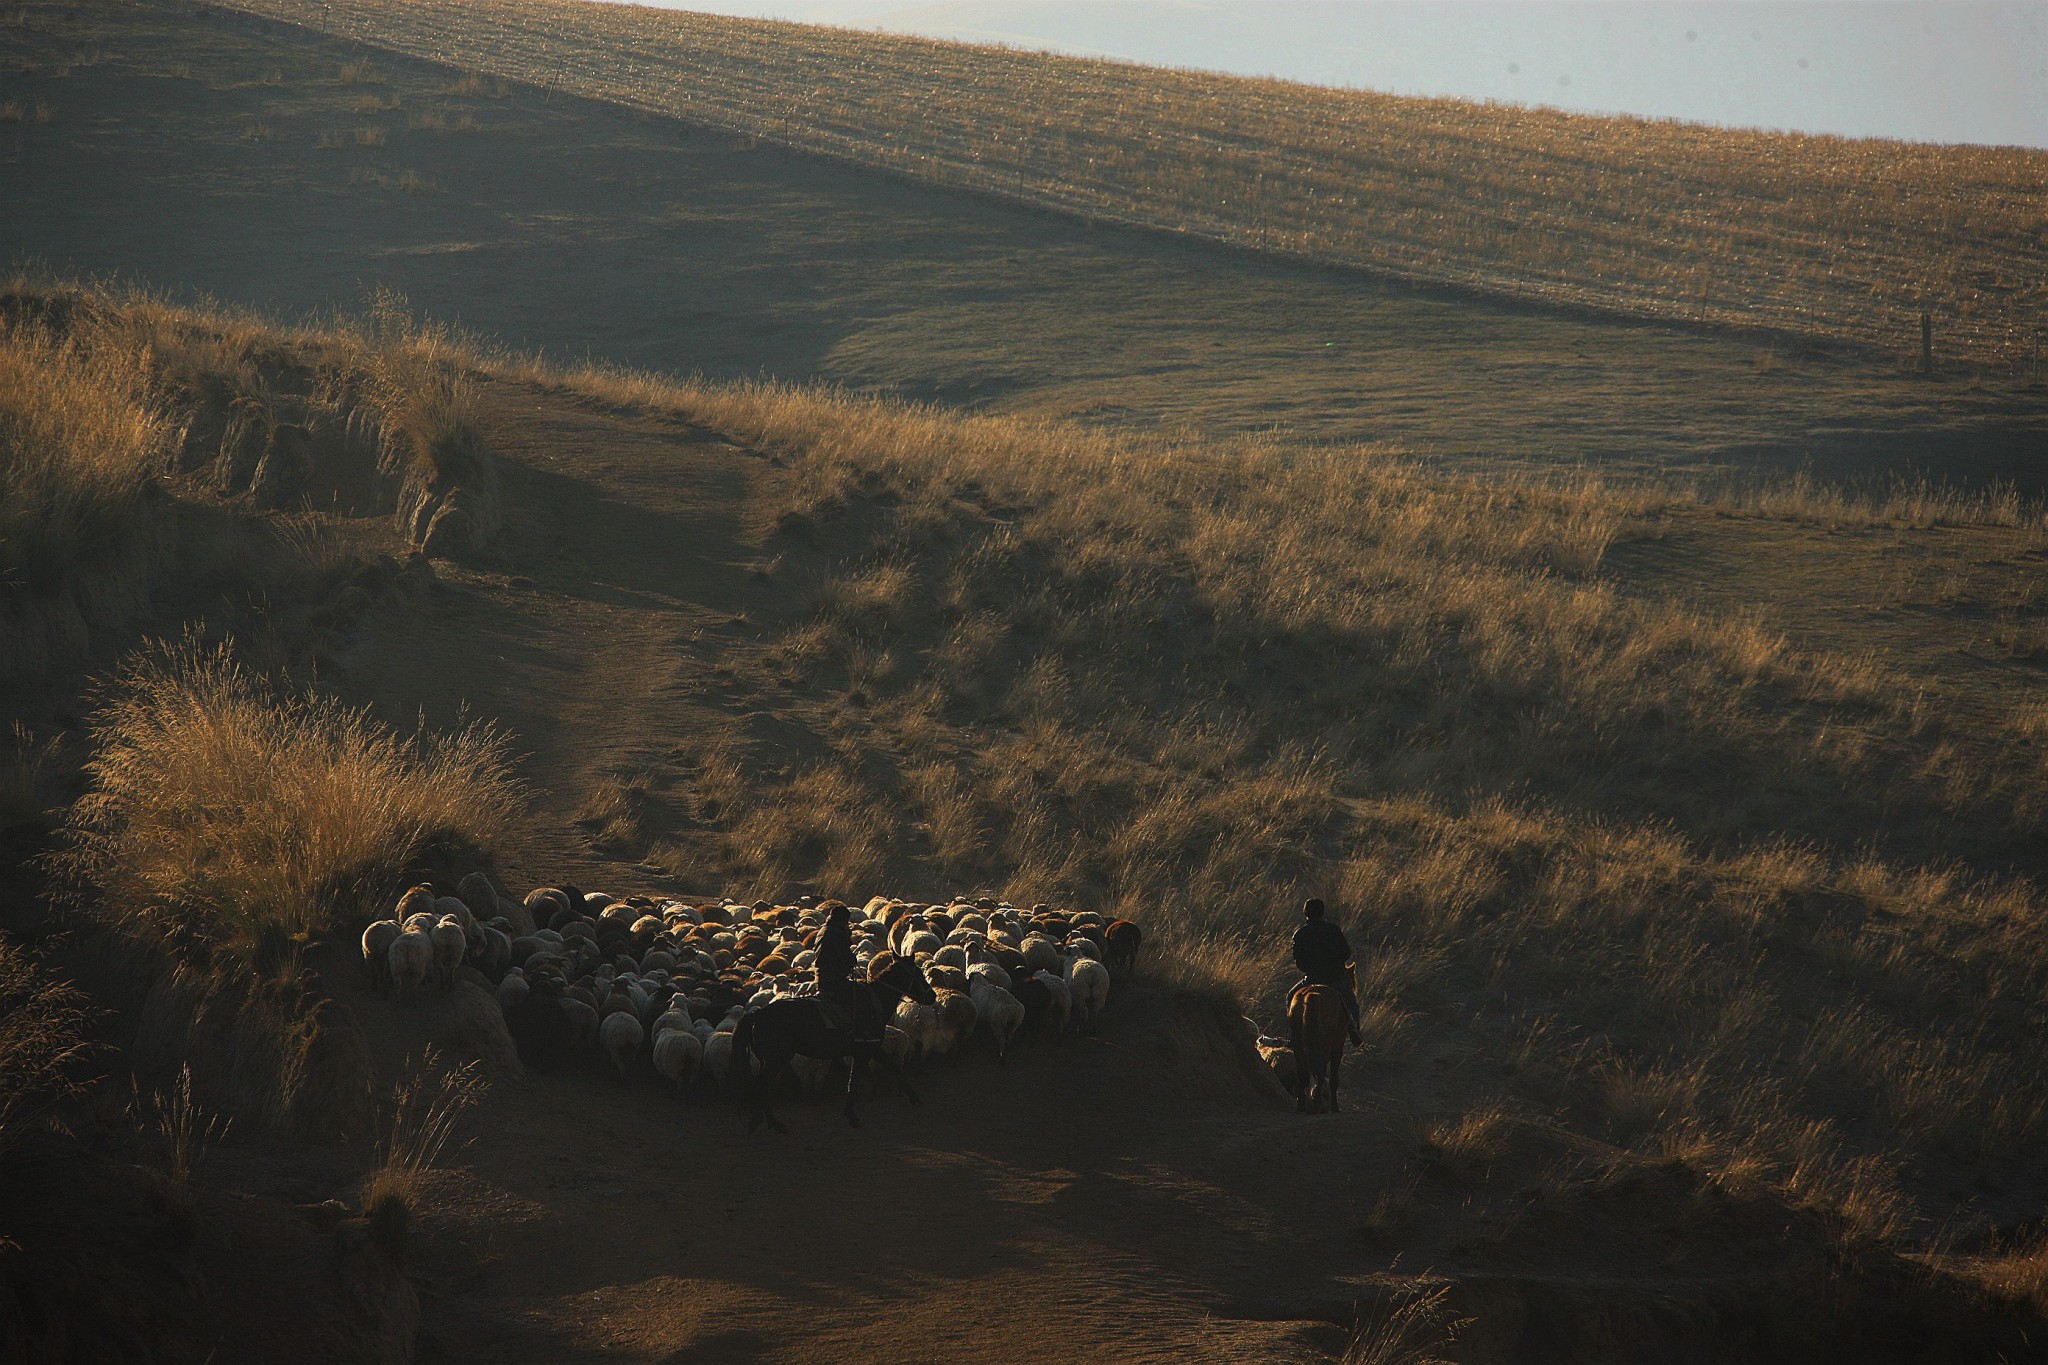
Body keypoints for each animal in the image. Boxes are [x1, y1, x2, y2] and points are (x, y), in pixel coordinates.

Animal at [729, 949, 937, 1129]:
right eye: (918, 973)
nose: (932, 996)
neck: (875, 1000)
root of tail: (758, 1014)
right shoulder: (864, 1050)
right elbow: (855, 1081)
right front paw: (852, 1115)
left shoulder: (872, 1048)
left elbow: (890, 1069)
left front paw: (913, 1097)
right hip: (776, 1059)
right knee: (762, 1087)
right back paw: (773, 1123)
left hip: (768, 1060)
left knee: (761, 1087)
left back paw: (764, 1121)